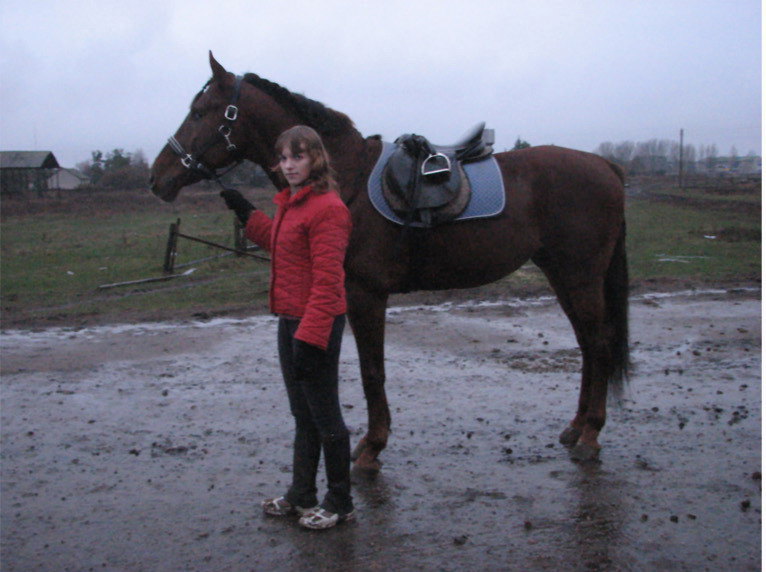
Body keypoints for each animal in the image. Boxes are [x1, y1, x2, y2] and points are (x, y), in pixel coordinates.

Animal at [148, 51, 632, 470]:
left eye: (200, 112)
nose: (157, 177)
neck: (345, 180)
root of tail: (606, 167)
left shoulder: (366, 293)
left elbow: (371, 371)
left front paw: (371, 447)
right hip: (562, 275)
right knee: (588, 346)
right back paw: (575, 427)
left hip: (580, 277)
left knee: (600, 344)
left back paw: (591, 434)